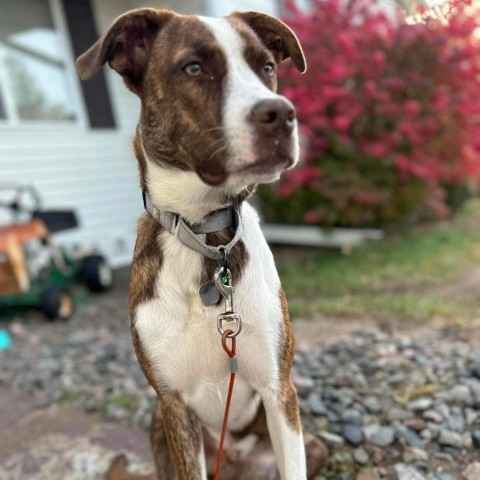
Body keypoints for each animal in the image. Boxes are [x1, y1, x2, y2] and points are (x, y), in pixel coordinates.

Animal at [77, 7, 328, 480]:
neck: (205, 235)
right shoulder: (173, 405)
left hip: (312, 443)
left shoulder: (279, 391)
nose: (282, 114)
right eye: (193, 68)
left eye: (267, 67)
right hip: (156, 423)